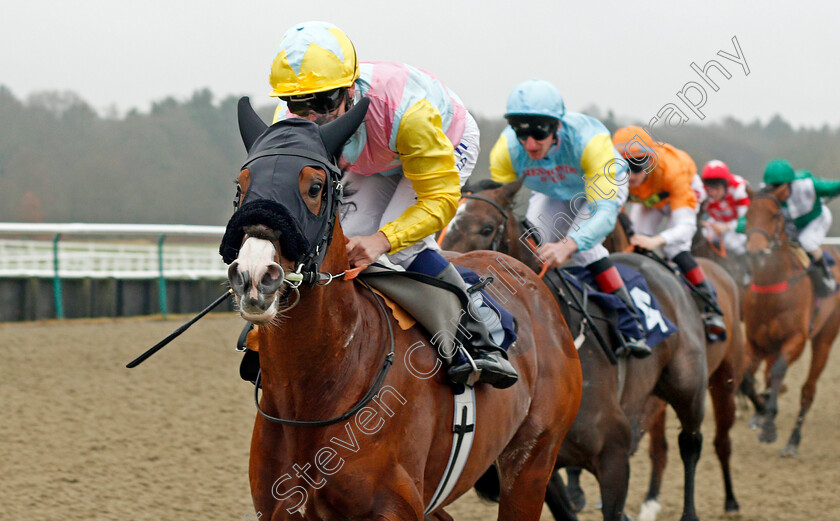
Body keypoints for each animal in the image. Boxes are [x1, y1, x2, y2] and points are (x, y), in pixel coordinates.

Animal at [221, 101, 584, 520]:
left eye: (314, 188)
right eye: (240, 186)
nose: (253, 276)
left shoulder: (395, 509)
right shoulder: (279, 508)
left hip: (532, 461)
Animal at [740, 187, 840, 456]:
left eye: (775, 215)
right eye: (748, 215)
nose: (755, 253)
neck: (771, 289)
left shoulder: (796, 339)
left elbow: (777, 372)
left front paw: (769, 427)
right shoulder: (754, 340)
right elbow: (746, 378)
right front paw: (762, 411)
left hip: (825, 338)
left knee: (808, 390)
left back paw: (793, 441)